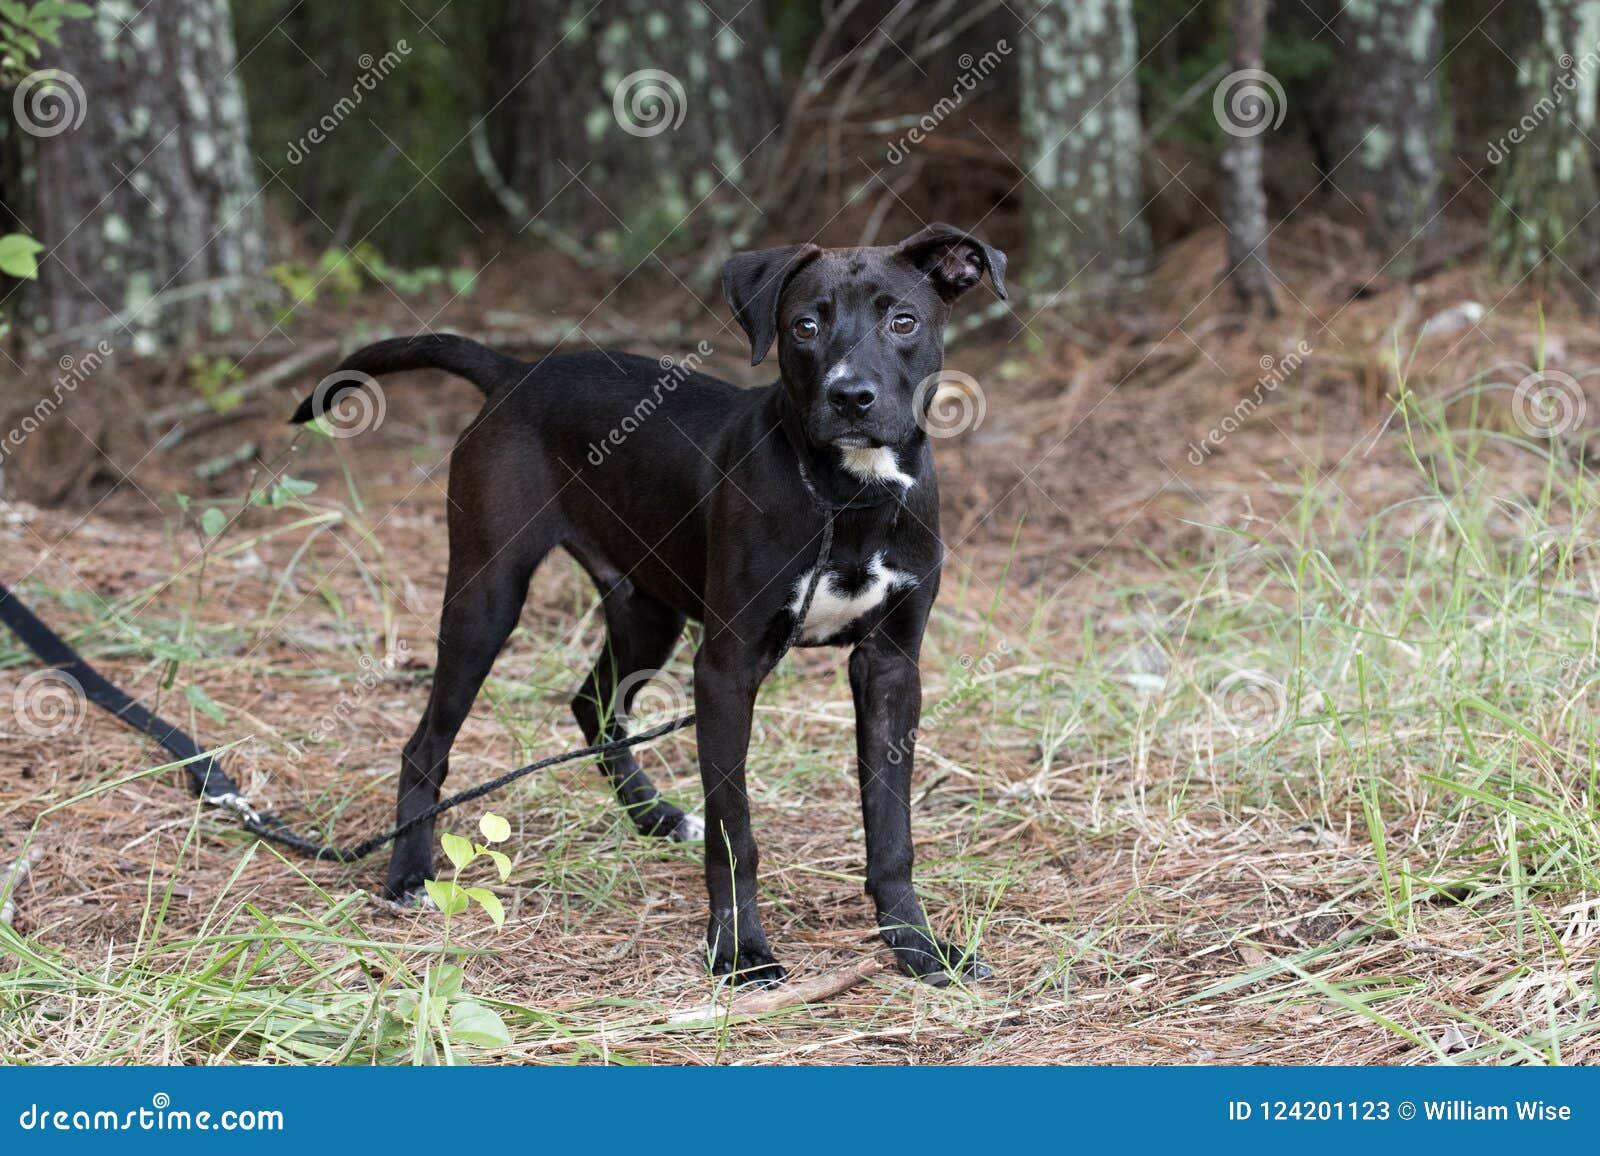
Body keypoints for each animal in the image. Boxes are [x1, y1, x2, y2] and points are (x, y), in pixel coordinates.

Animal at [291, 225, 998, 979]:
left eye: (905, 322)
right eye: (805, 326)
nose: (851, 397)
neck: (849, 496)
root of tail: (516, 372)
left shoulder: (891, 668)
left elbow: (891, 830)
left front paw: (918, 945)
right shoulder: (726, 670)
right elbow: (733, 832)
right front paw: (740, 950)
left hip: (647, 611)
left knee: (592, 704)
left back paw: (653, 816)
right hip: (487, 597)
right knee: (426, 744)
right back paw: (406, 874)